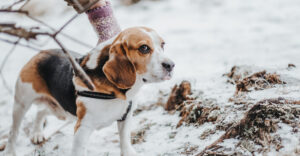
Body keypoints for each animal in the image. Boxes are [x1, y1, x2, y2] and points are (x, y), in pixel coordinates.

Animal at [4, 27, 173, 156]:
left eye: (163, 45)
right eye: (144, 48)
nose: (171, 65)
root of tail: (41, 52)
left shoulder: (125, 118)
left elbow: (125, 141)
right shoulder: (82, 128)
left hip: (61, 111)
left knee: (41, 112)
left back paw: (37, 134)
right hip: (21, 103)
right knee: (14, 131)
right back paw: (10, 151)